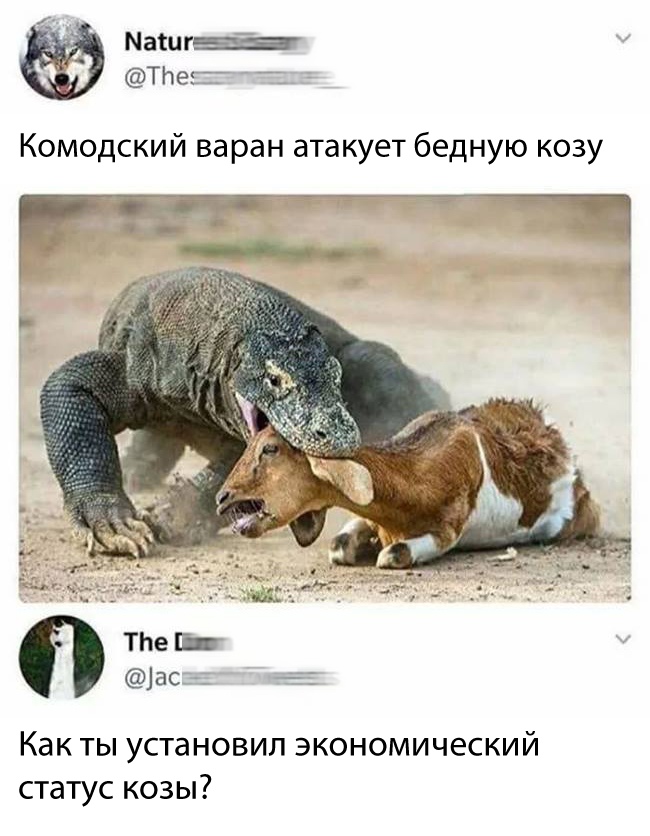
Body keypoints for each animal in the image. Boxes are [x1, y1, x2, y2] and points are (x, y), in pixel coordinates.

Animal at [217, 399, 600, 569]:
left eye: (270, 449)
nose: (222, 497)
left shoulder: (447, 529)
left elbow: (394, 554)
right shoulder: (368, 516)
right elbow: (339, 546)